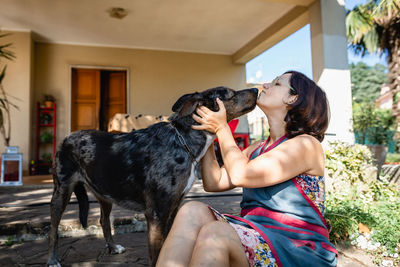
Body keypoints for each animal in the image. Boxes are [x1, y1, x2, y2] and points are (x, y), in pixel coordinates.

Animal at [47, 87, 260, 266]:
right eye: (230, 94)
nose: (257, 90)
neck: (182, 141)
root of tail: (67, 138)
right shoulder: (156, 213)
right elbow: (157, 253)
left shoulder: (173, 208)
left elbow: (168, 244)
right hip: (61, 191)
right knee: (53, 229)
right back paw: (53, 260)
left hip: (105, 194)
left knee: (104, 221)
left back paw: (113, 247)